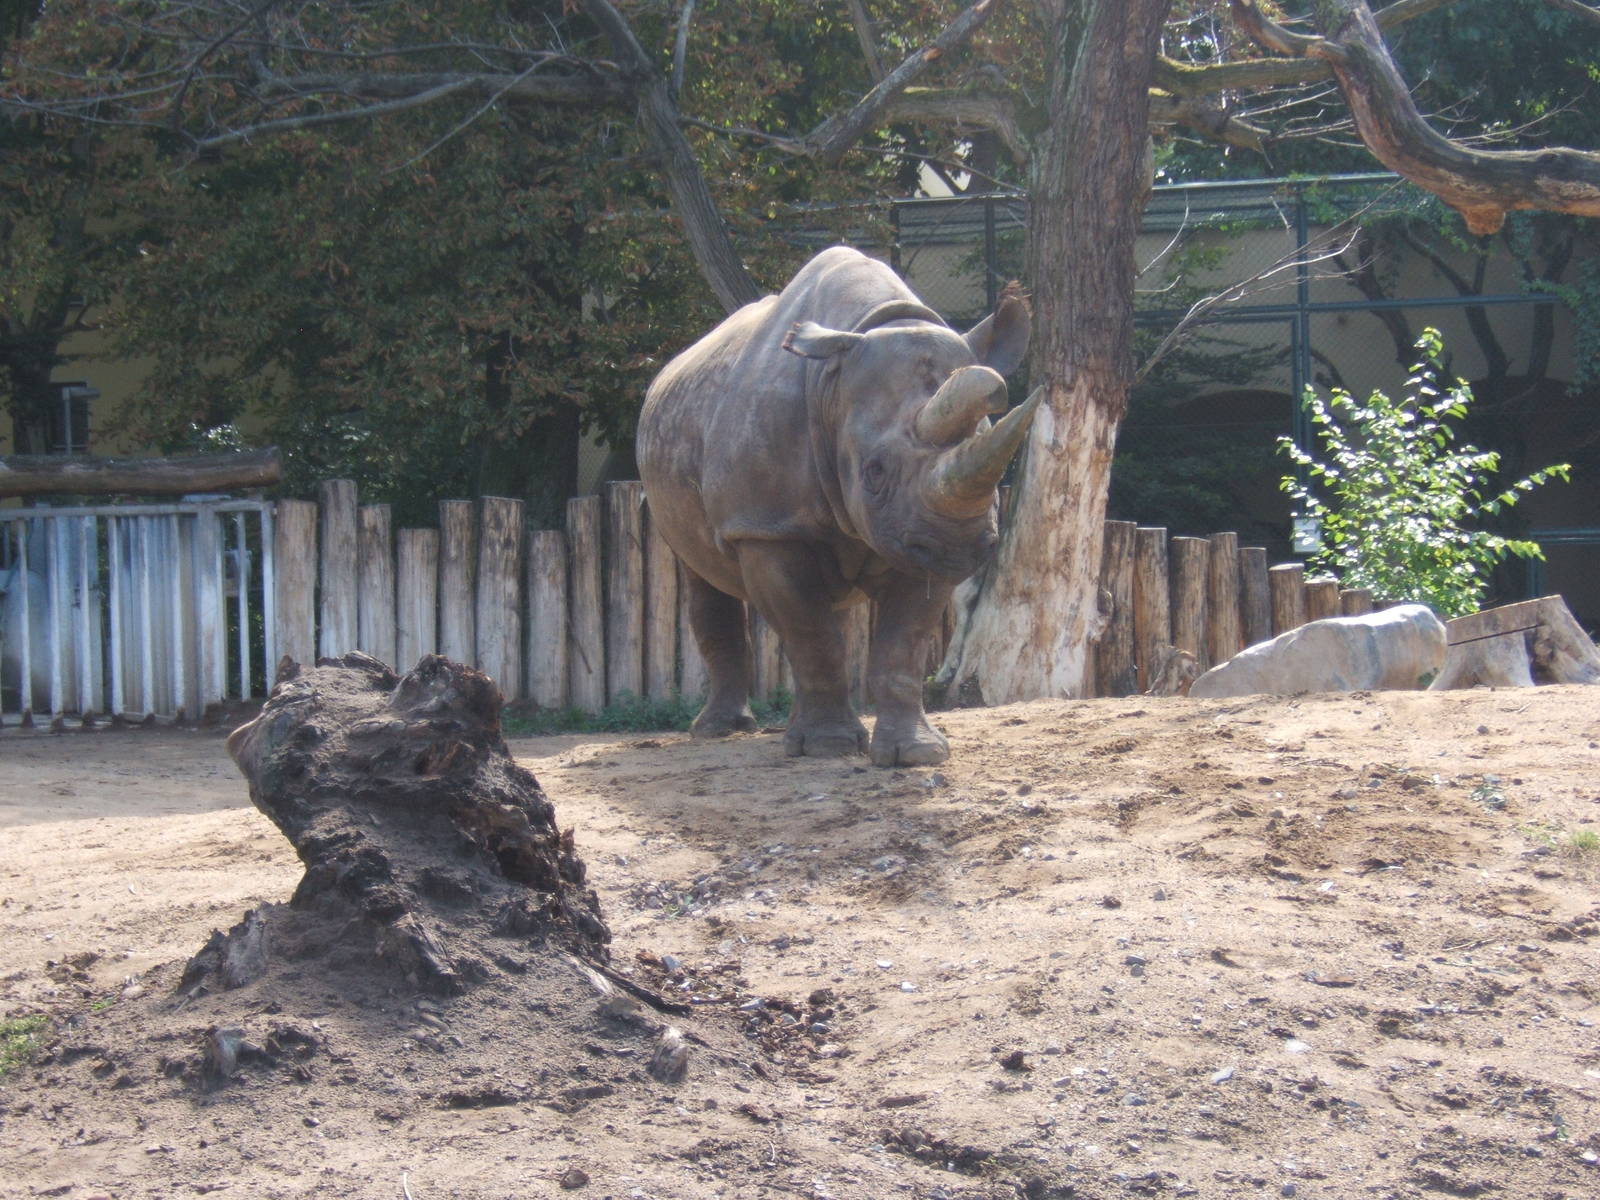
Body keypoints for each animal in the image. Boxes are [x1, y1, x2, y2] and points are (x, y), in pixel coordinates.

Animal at [638, 246, 1039, 766]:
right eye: (874, 471)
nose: (962, 548)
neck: (833, 386)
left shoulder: (913, 536)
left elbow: (901, 645)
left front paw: (916, 754)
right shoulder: (768, 528)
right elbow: (813, 633)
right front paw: (829, 747)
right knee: (703, 577)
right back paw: (719, 731)